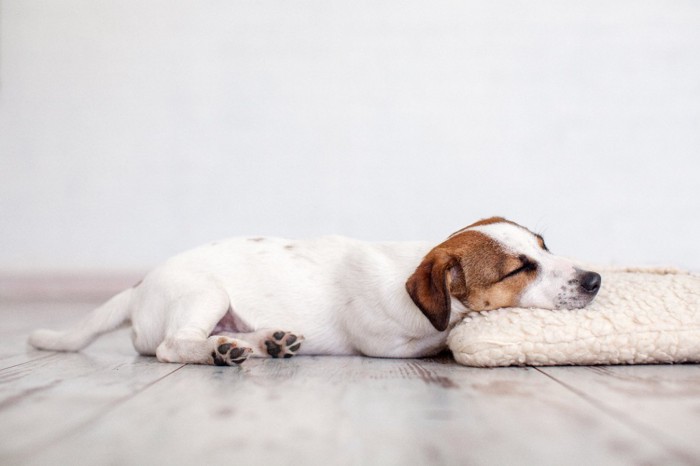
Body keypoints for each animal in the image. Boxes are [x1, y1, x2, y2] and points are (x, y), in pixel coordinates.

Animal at [28, 217, 600, 366]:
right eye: (519, 268)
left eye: (545, 245)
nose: (596, 280)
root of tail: (138, 287)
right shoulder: (387, 344)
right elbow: (445, 333)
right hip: (205, 294)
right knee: (173, 346)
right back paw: (220, 352)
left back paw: (261, 343)